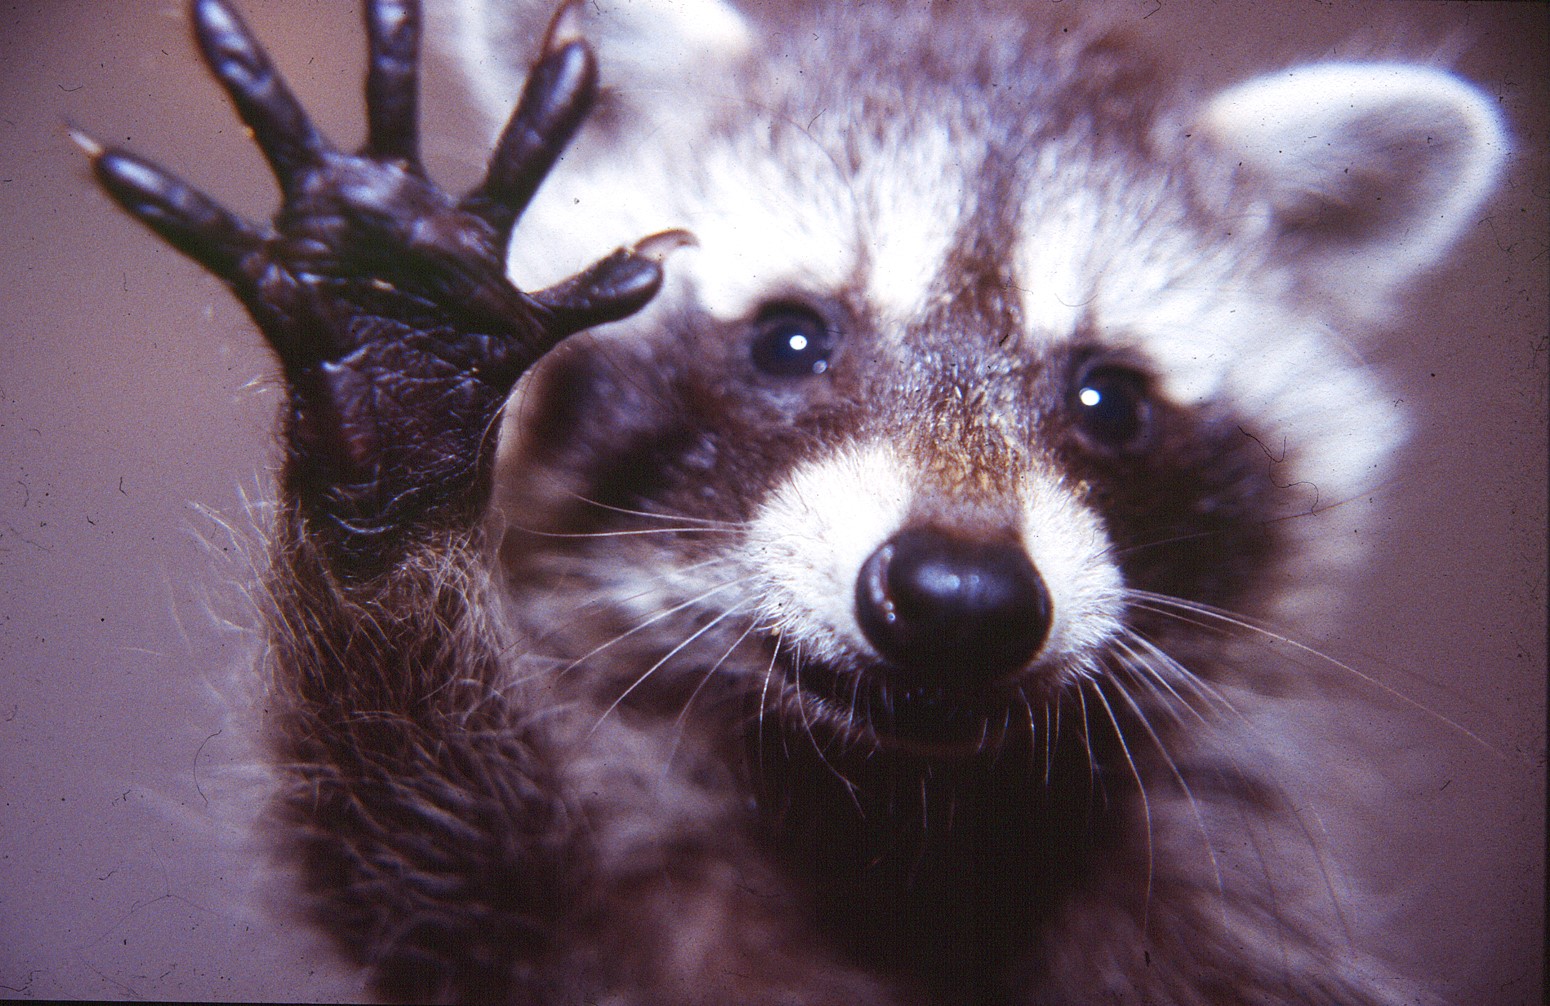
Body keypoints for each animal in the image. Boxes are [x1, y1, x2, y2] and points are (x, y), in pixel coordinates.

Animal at [84, 1, 1500, 1004]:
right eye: (788, 339)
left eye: (1110, 399)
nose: (957, 596)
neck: (886, 817)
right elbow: (421, 842)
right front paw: (397, 401)